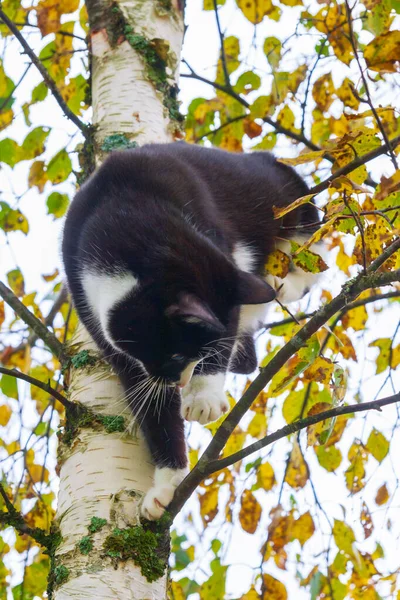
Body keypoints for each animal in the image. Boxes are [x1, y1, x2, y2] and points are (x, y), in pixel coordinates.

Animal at [61, 142, 318, 520]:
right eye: (175, 354)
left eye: (194, 354)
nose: (181, 383)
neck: (122, 213)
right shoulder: (87, 301)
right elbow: (150, 403)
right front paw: (167, 484)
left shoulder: (218, 253)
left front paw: (204, 397)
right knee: (249, 361)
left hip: (285, 191)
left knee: (310, 240)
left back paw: (282, 282)